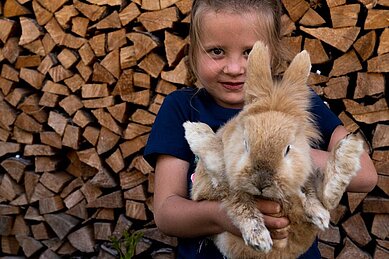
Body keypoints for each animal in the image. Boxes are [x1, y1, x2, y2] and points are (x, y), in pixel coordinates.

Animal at [183, 41, 364, 258]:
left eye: (288, 149)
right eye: (246, 144)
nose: (261, 183)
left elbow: (311, 193)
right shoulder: (214, 189)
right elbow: (239, 202)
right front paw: (260, 239)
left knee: (325, 197)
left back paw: (350, 149)